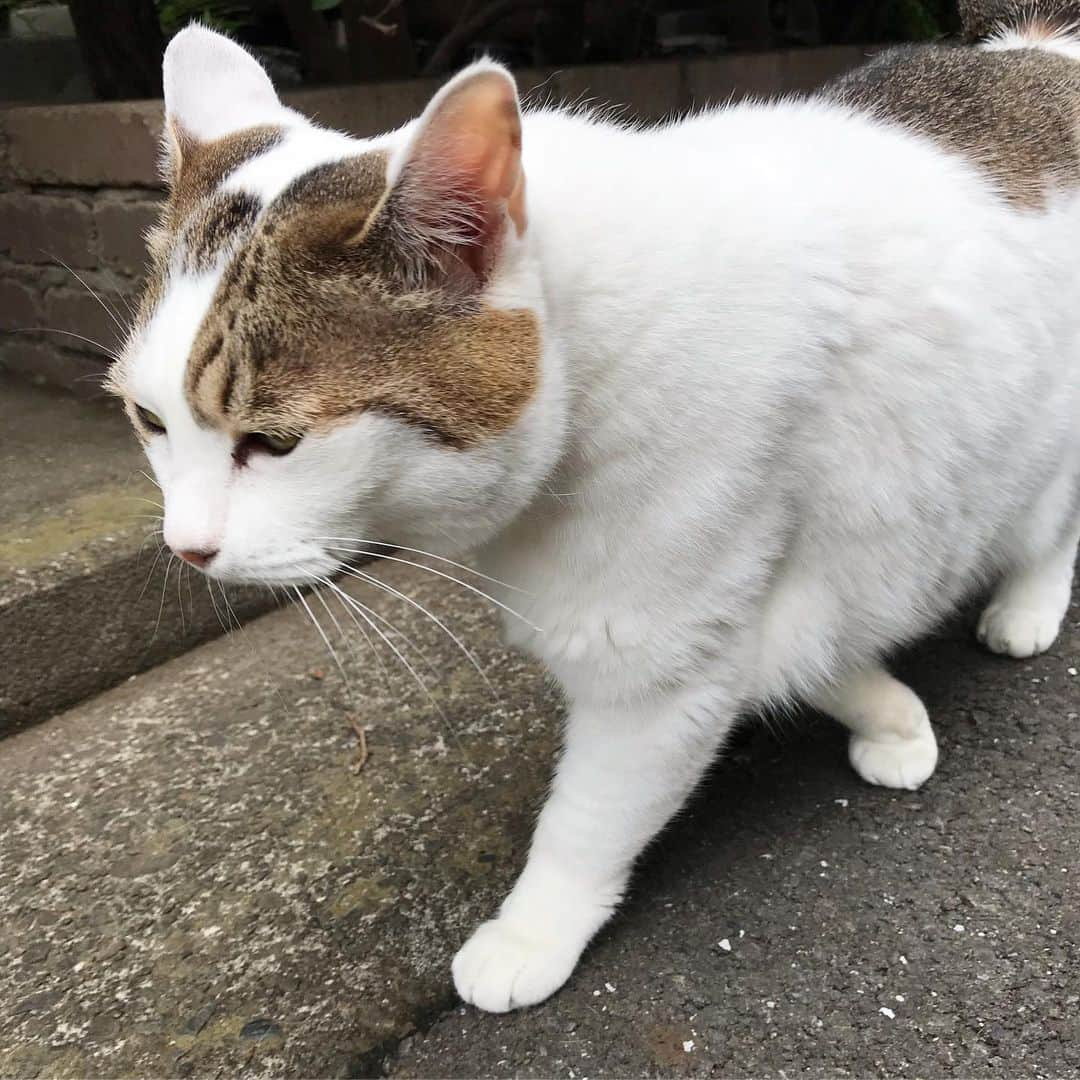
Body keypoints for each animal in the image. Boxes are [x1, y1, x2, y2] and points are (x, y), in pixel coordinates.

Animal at [107, 4, 1080, 1006]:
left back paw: (1025, 608)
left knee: (1053, 525)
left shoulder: (649, 651)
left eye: (274, 443)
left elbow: (589, 816)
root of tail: (1038, 58)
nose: (186, 548)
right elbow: (802, 651)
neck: (589, 351)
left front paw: (531, 933)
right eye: (149, 420)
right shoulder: (756, 598)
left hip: (1045, 452)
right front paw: (889, 714)